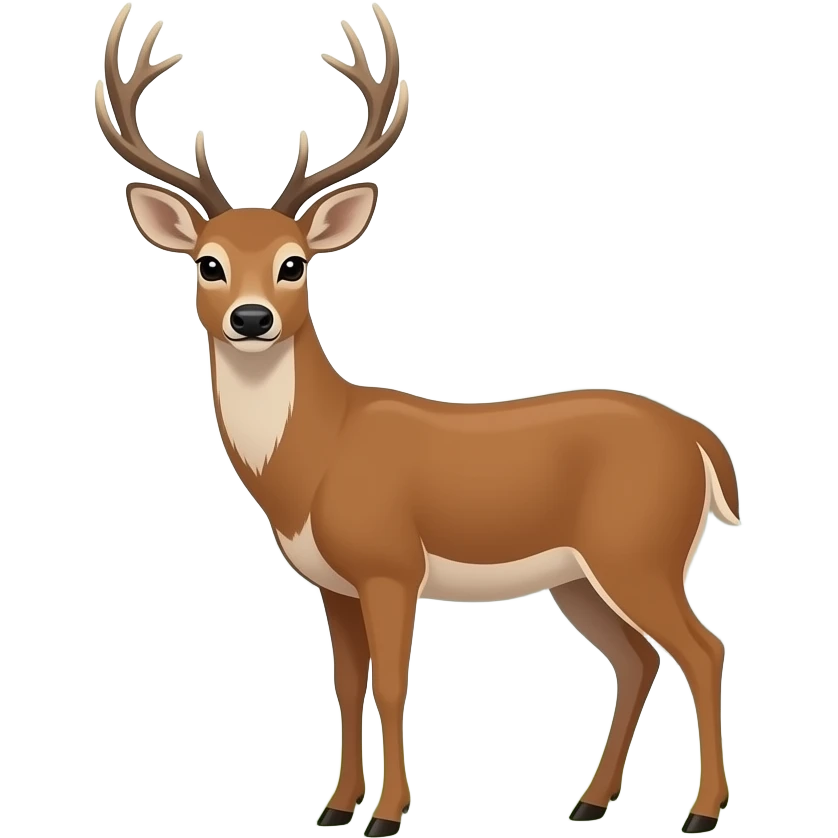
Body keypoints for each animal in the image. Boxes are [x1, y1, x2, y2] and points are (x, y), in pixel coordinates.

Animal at [94, 3, 741, 835]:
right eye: (209, 263)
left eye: (295, 263)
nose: (251, 318)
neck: (317, 457)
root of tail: (701, 439)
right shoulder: (334, 584)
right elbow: (344, 685)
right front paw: (336, 807)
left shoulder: (390, 563)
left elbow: (391, 684)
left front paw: (389, 813)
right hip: (582, 577)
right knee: (636, 660)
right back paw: (590, 802)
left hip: (639, 550)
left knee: (702, 648)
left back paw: (702, 811)